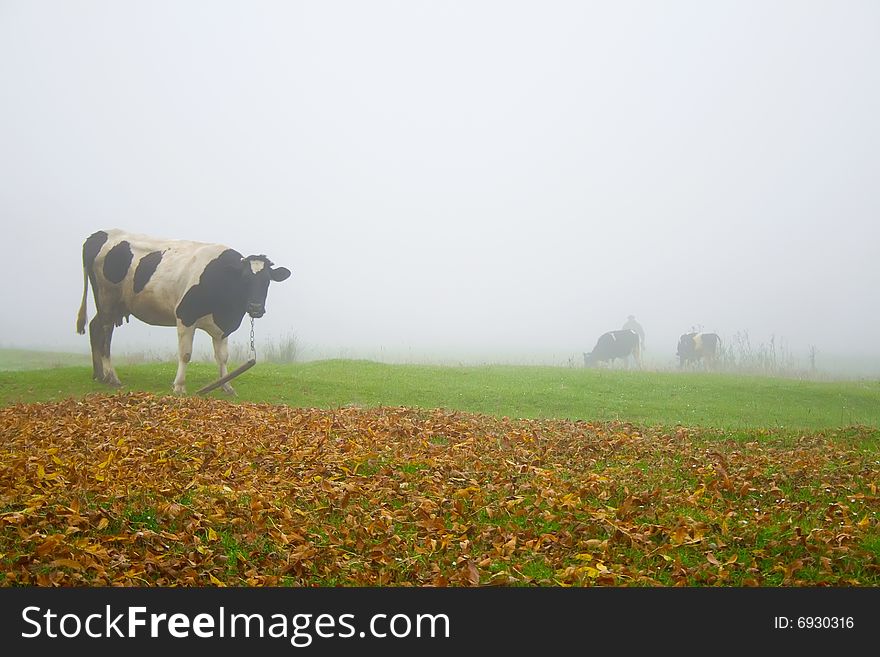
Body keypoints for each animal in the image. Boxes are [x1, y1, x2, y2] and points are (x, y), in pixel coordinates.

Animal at [76, 229, 292, 392]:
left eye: (267, 281)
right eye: (245, 279)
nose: (255, 308)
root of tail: (98, 234)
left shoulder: (222, 327)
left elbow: (222, 357)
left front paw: (226, 386)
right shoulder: (185, 316)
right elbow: (185, 354)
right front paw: (179, 386)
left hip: (114, 305)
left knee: (95, 328)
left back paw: (99, 375)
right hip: (107, 299)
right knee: (105, 335)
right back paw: (111, 376)